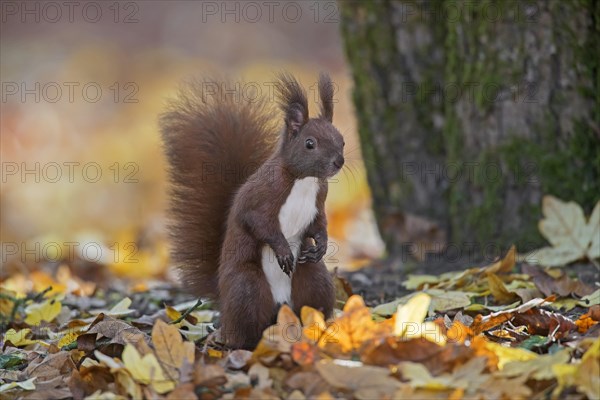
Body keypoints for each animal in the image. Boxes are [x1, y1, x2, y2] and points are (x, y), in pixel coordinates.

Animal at [162, 73, 344, 348]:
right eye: (310, 143)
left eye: (341, 139)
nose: (339, 161)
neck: (304, 179)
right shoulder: (261, 199)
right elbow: (259, 223)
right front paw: (282, 251)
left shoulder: (318, 204)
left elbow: (319, 225)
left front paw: (321, 246)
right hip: (247, 288)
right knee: (244, 328)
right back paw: (243, 344)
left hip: (315, 281)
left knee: (311, 303)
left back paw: (315, 331)